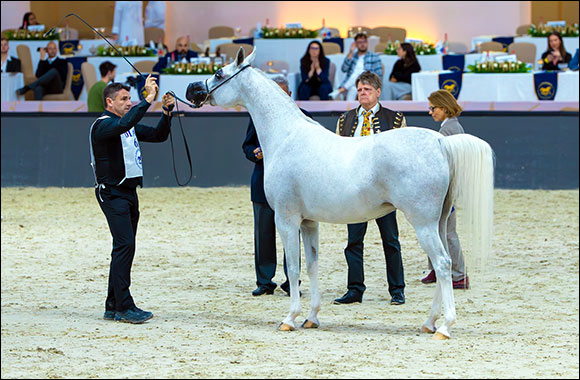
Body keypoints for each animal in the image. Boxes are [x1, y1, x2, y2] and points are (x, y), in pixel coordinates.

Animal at [186, 46, 494, 340]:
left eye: (218, 73)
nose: (191, 89)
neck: (287, 136)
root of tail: (440, 142)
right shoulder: (309, 223)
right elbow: (312, 266)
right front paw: (311, 317)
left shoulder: (286, 219)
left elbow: (293, 268)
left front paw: (289, 318)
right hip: (439, 221)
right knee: (446, 263)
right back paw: (429, 323)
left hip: (423, 223)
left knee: (442, 264)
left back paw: (444, 327)